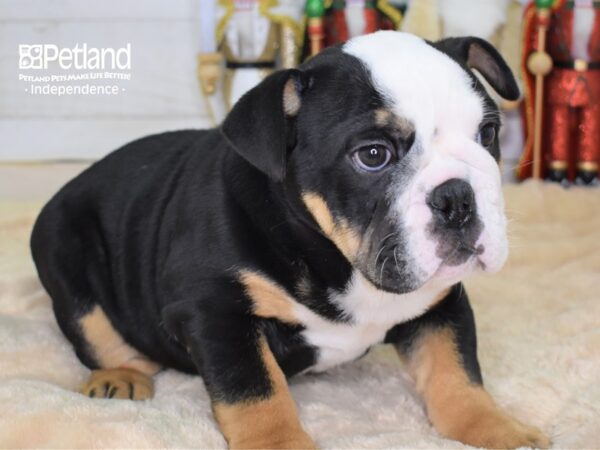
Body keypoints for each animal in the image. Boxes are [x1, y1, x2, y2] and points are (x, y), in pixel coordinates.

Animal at [30, 30, 552, 446]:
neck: (338, 260)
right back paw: (120, 375)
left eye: (488, 133)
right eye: (373, 155)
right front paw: (280, 443)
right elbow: (257, 394)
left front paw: (499, 430)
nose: (457, 197)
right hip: (67, 262)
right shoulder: (216, 314)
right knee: (98, 334)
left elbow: (456, 371)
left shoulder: (443, 302)